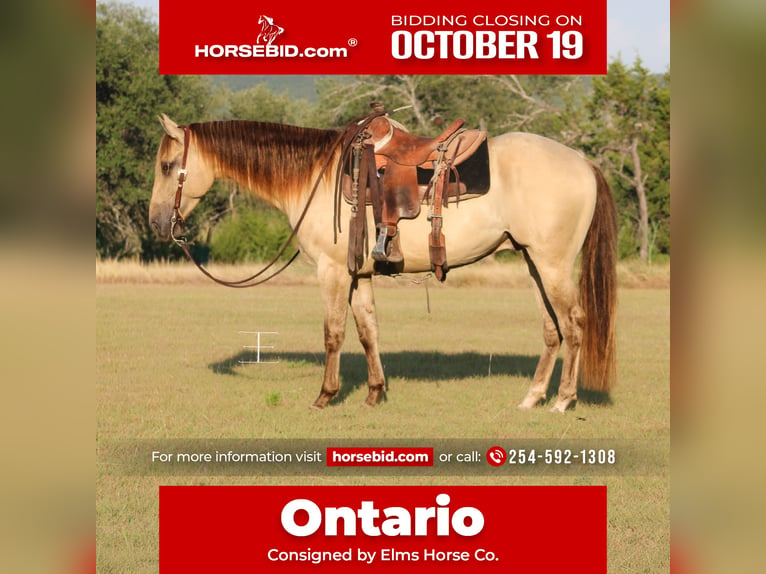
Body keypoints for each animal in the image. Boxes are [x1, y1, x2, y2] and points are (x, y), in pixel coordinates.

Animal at [148, 114, 617, 413]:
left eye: (169, 166)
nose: (156, 222)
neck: (316, 176)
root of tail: (583, 162)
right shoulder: (359, 274)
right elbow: (367, 331)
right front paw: (374, 393)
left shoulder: (332, 272)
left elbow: (334, 334)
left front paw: (325, 396)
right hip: (534, 262)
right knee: (552, 329)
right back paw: (533, 397)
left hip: (553, 265)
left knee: (574, 324)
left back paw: (563, 401)